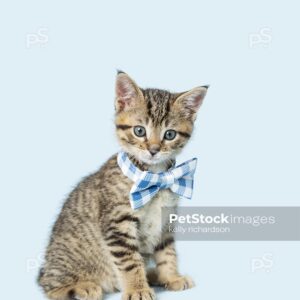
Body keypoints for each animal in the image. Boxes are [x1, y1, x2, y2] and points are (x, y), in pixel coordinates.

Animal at [38, 71, 209, 298]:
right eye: (139, 131)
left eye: (170, 134)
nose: (153, 150)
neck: (154, 176)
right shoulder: (117, 223)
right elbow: (130, 262)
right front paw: (137, 288)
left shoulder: (166, 222)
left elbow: (167, 252)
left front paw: (171, 276)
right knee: (50, 286)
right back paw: (83, 286)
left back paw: (153, 275)